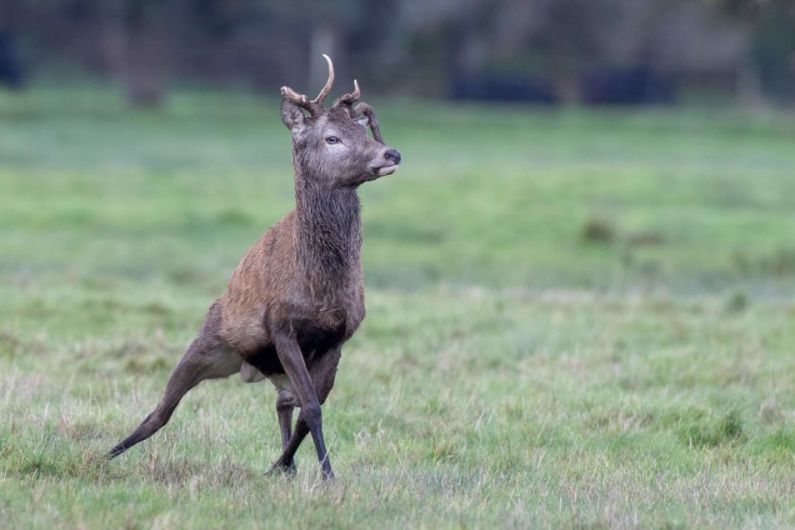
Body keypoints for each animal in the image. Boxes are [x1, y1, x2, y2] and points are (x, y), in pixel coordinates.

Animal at [109, 55, 402, 476]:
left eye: (363, 130)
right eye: (331, 137)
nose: (390, 153)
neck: (318, 286)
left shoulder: (340, 336)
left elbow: (309, 408)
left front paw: (290, 467)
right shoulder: (282, 326)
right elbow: (312, 408)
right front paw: (328, 475)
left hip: (269, 367)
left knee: (282, 401)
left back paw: (284, 467)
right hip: (209, 341)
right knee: (159, 412)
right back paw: (102, 454)